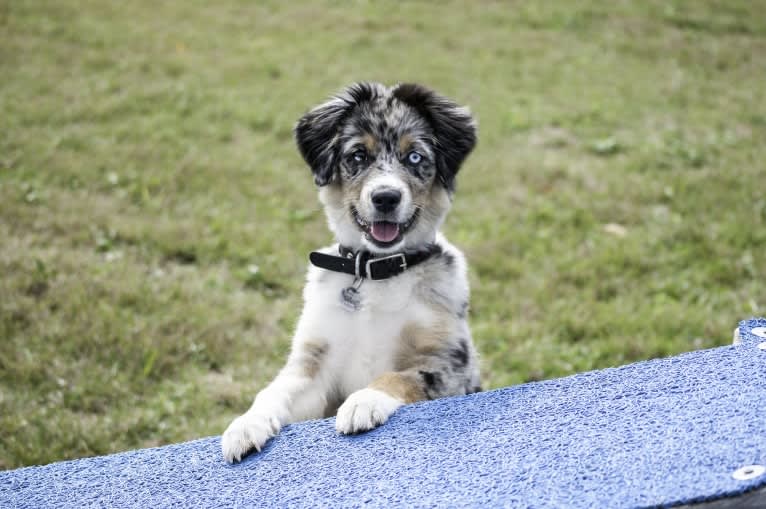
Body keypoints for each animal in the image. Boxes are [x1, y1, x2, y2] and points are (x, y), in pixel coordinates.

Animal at [220, 81, 480, 462]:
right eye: (358, 155)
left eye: (415, 157)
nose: (385, 197)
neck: (375, 273)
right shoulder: (314, 365)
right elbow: (273, 391)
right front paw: (245, 425)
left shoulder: (449, 363)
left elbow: (399, 377)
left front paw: (363, 403)